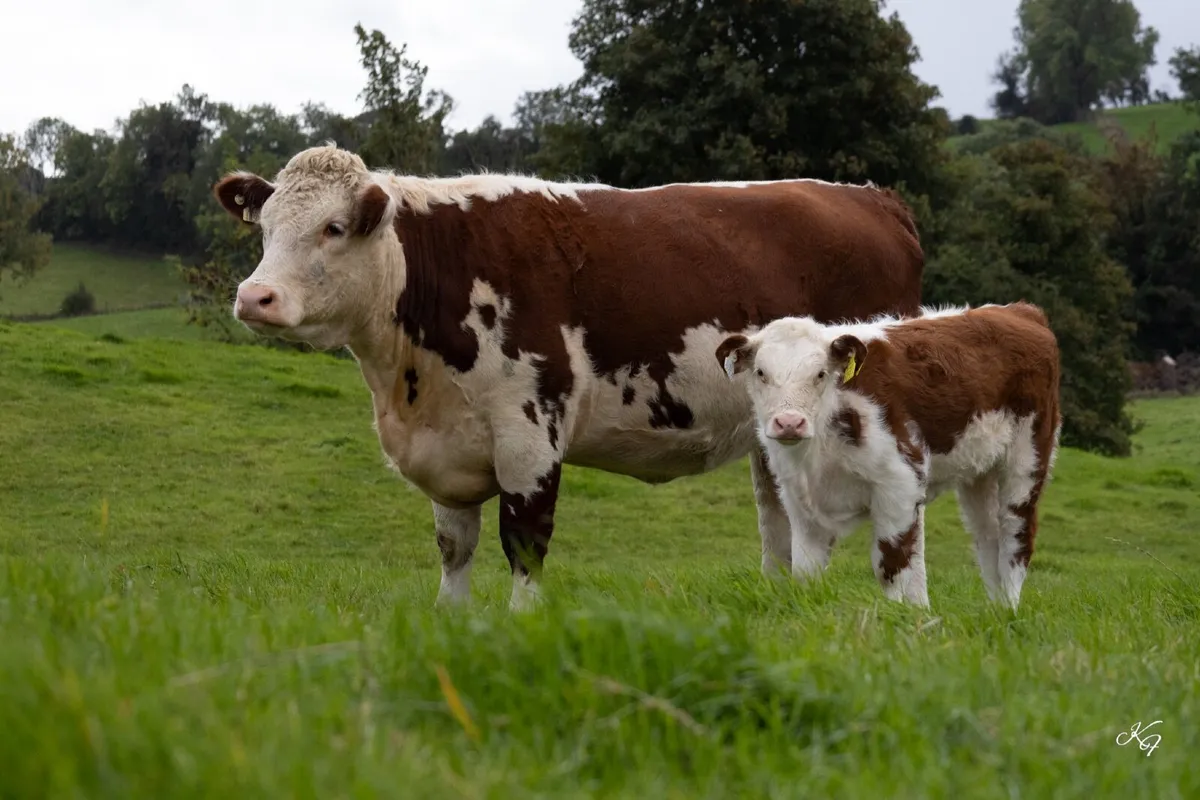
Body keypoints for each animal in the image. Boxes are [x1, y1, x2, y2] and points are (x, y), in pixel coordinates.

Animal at [212, 144, 924, 610]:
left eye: (333, 228)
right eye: (265, 228)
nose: (255, 297)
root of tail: (872, 196)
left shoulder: (529, 433)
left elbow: (523, 542)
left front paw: (519, 626)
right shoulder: (447, 441)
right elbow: (453, 546)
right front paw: (449, 622)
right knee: (779, 517)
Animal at [715, 302, 1061, 610]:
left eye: (820, 374)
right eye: (761, 372)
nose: (789, 422)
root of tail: (1019, 310)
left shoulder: (900, 483)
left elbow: (892, 566)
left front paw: (900, 618)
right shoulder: (800, 500)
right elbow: (805, 570)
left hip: (1027, 458)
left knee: (1016, 535)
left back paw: (1010, 610)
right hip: (980, 470)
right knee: (988, 536)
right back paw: (996, 610)